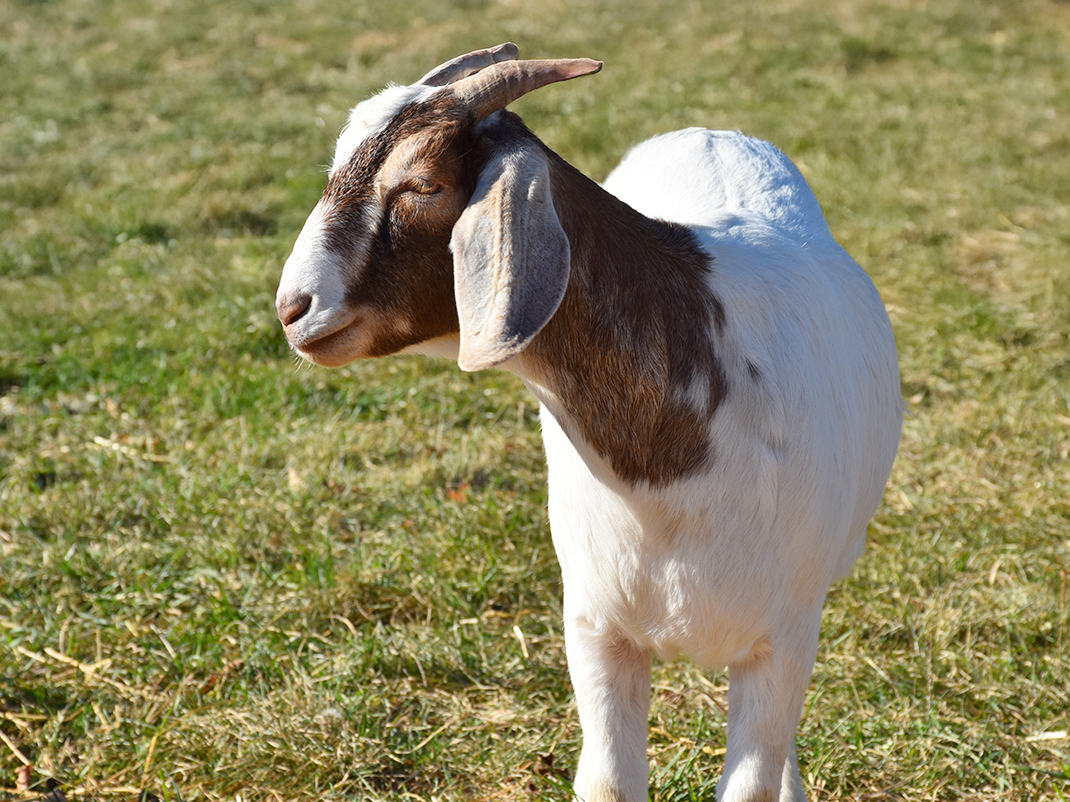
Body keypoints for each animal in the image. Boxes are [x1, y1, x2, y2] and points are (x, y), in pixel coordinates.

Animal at [273, 43, 903, 802]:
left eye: (422, 184)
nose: (293, 308)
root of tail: (709, 132)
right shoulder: (596, 628)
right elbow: (608, 781)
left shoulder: (782, 638)